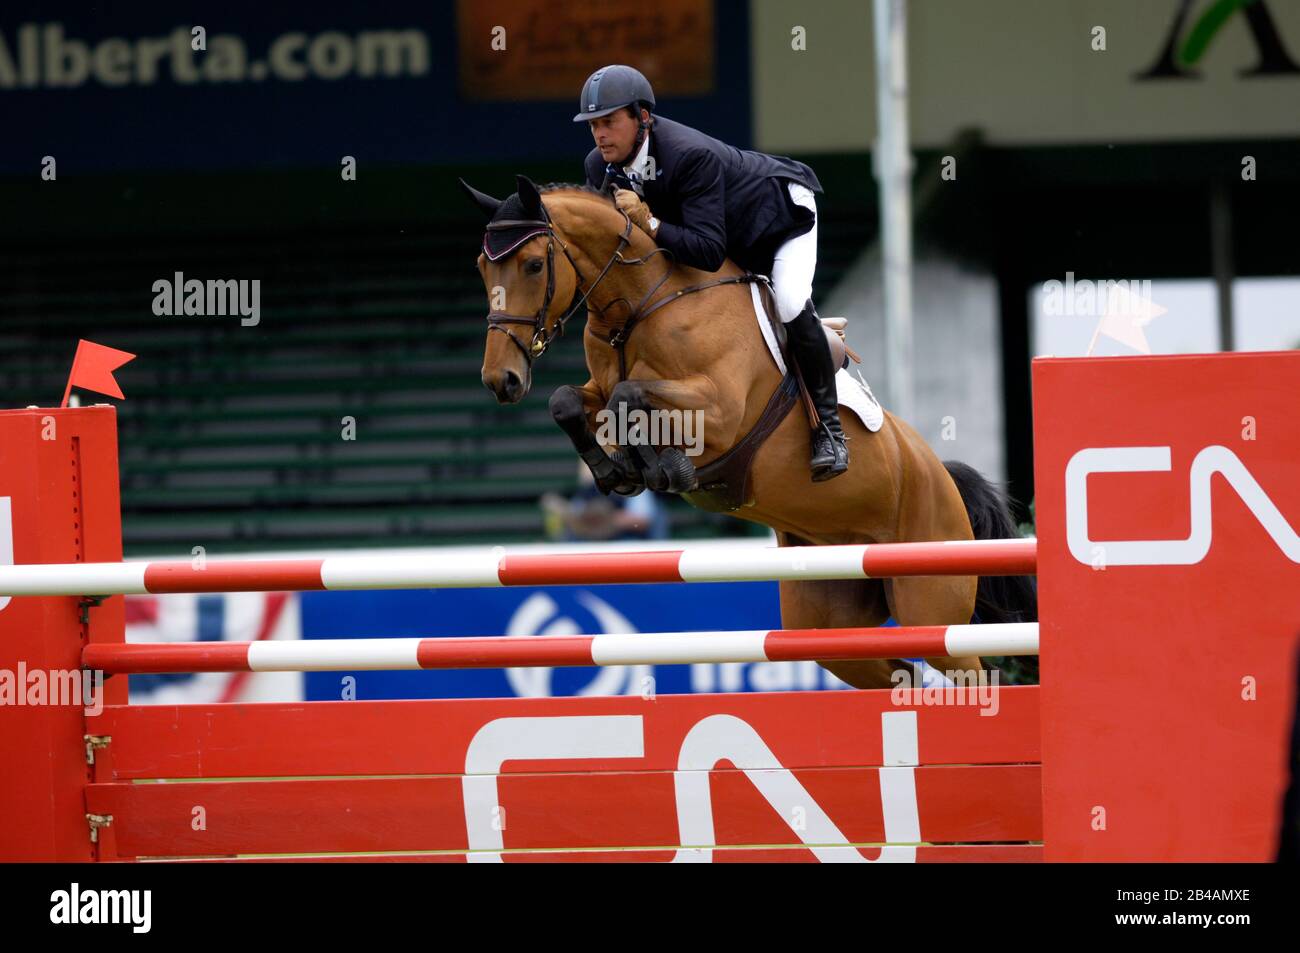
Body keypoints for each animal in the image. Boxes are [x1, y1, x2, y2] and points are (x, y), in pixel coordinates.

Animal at [460, 174, 1034, 686]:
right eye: (482, 266)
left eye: (534, 264)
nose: (500, 379)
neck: (642, 303)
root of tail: (940, 472)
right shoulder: (600, 388)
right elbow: (569, 401)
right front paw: (614, 470)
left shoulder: (719, 410)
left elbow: (633, 396)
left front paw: (664, 469)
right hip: (832, 624)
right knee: (898, 676)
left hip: (929, 599)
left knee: (969, 670)